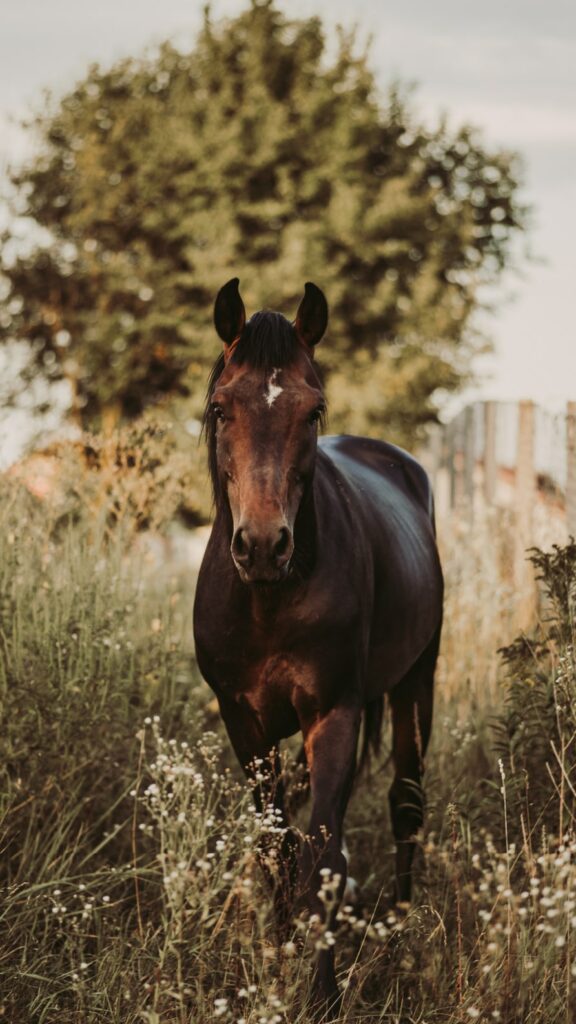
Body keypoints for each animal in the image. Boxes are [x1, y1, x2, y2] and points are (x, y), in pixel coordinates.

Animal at [193, 278, 443, 1014]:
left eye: (314, 411)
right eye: (220, 407)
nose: (263, 545)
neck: (269, 600)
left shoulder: (333, 714)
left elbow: (324, 858)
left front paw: (323, 995)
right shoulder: (243, 724)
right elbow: (275, 849)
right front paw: (277, 965)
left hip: (416, 682)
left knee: (406, 806)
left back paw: (397, 944)